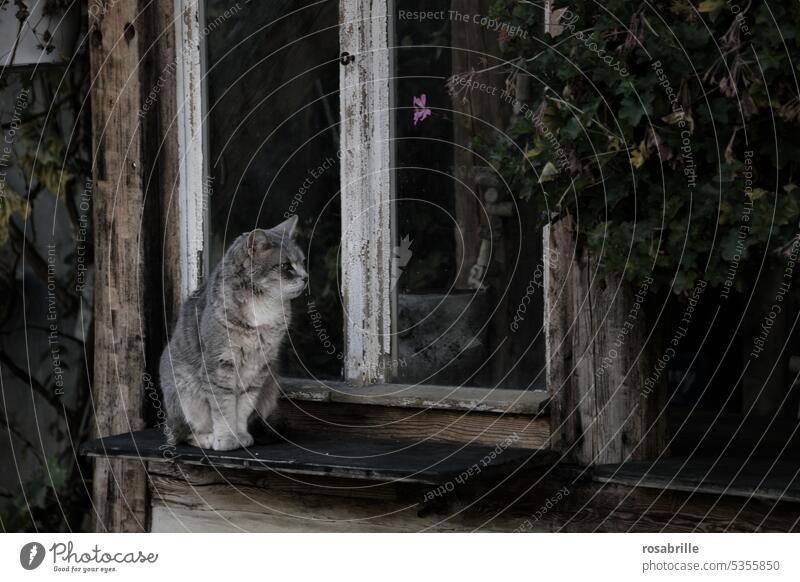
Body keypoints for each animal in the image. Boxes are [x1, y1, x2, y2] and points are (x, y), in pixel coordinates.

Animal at [159, 217, 306, 454]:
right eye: (286, 266)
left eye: (302, 262)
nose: (306, 278)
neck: (262, 306)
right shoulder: (221, 365)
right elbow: (224, 408)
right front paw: (227, 438)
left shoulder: (258, 368)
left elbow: (243, 406)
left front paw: (241, 435)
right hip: (185, 394)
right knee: (183, 434)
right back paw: (207, 439)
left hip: (270, 386)